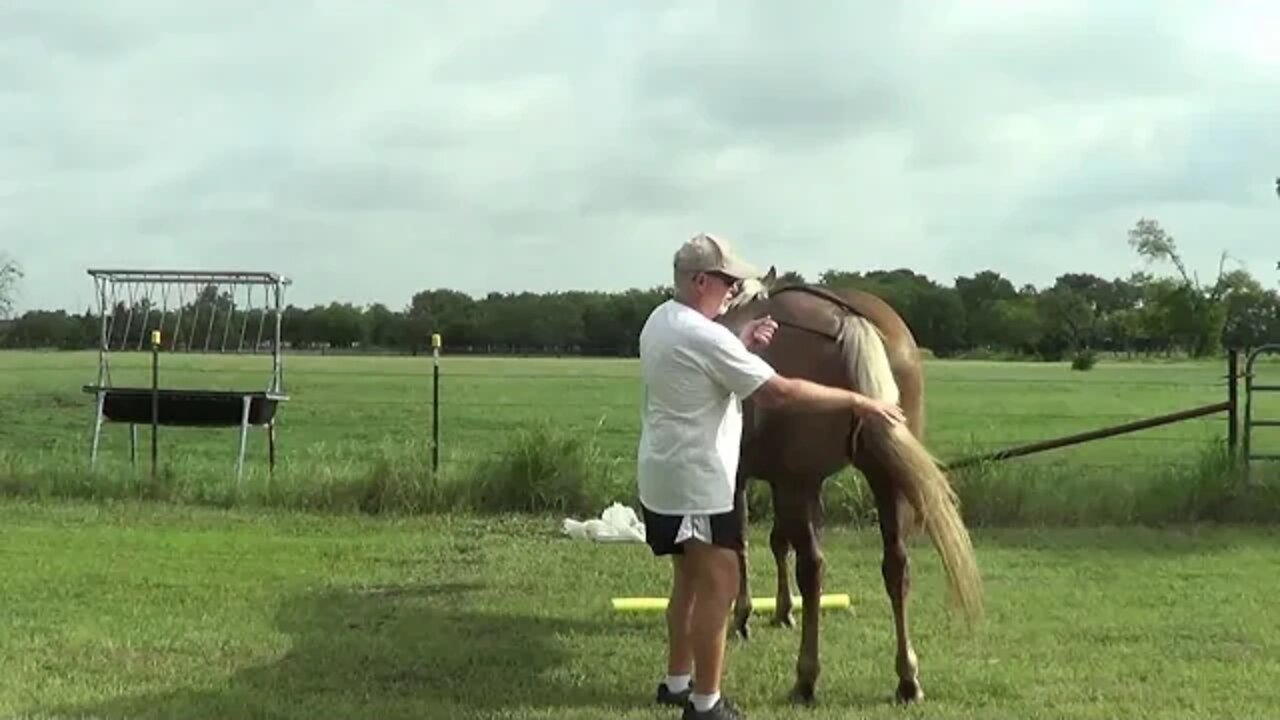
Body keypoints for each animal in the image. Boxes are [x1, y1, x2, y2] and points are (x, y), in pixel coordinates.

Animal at [721, 267, 977, 702]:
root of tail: (847, 320)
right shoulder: (795, 482)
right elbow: (777, 542)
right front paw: (781, 611)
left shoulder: (753, 478)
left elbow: (741, 542)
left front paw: (743, 616)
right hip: (884, 478)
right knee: (896, 566)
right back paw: (907, 679)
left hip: (804, 484)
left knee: (813, 569)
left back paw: (806, 678)